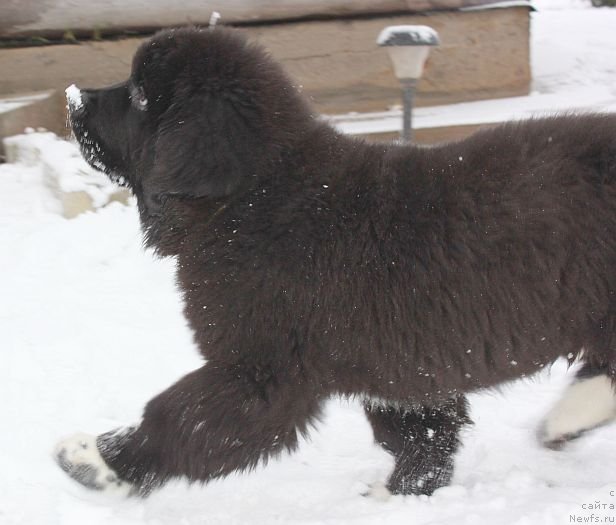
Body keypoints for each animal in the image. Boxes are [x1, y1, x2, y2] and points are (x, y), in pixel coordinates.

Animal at [57, 26, 616, 498]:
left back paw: (567, 417)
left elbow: (183, 418)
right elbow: (422, 435)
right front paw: (403, 495)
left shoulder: (261, 368)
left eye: (139, 95)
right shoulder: (402, 363)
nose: (74, 96)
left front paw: (97, 462)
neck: (252, 197)